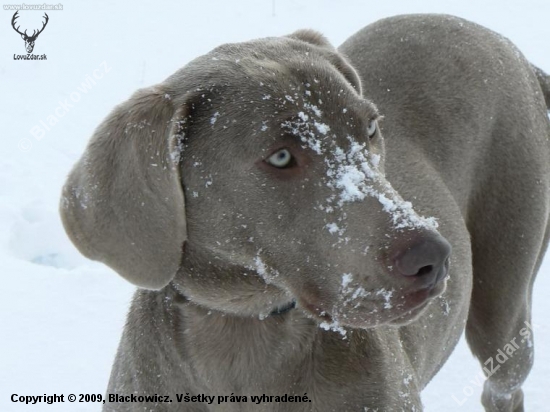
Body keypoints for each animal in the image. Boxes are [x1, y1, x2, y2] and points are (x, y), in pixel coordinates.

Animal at [60, 13, 550, 412]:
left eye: (371, 128)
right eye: (280, 157)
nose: (434, 258)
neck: (245, 330)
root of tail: (507, 45)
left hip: (504, 300)